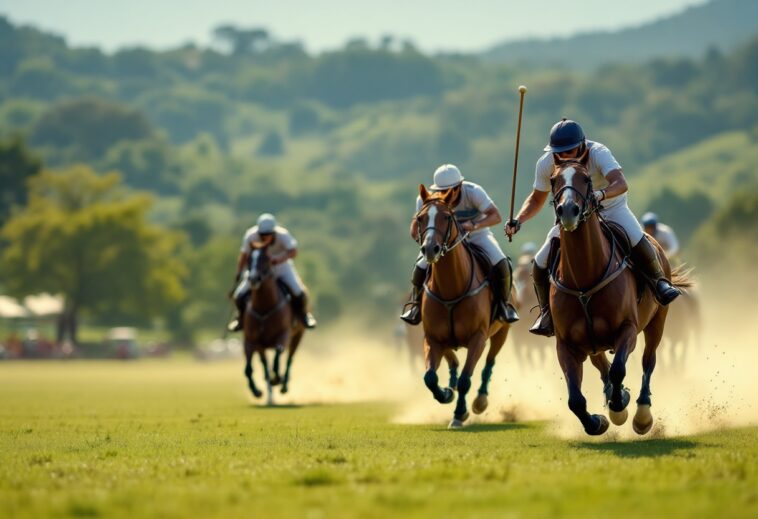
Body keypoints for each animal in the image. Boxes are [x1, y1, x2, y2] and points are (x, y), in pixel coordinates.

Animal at [242, 244, 304, 406]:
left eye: (266, 259)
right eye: (249, 259)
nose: (253, 278)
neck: (264, 307)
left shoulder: (284, 335)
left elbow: (278, 356)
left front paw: (278, 379)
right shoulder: (251, 340)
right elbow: (248, 368)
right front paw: (257, 392)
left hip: (298, 336)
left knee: (289, 359)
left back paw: (283, 385)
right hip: (262, 346)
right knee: (265, 365)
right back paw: (269, 396)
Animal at [418, 185, 512, 428]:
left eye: (446, 217)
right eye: (420, 218)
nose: (430, 249)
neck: (451, 288)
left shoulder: (477, 337)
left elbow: (465, 380)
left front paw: (459, 414)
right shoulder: (432, 337)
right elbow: (429, 377)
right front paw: (445, 394)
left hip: (502, 331)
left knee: (489, 362)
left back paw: (480, 401)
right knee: (452, 358)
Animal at [548, 160, 692, 436]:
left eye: (586, 178)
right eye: (553, 180)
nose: (568, 210)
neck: (584, 278)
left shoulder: (627, 329)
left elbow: (618, 370)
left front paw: (619, 406)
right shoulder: (566, 344)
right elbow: (575, 399)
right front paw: (596, 422)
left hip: (657, 321)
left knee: (649, 360)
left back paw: (642, 414)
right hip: (592, 343)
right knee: (601, 363)